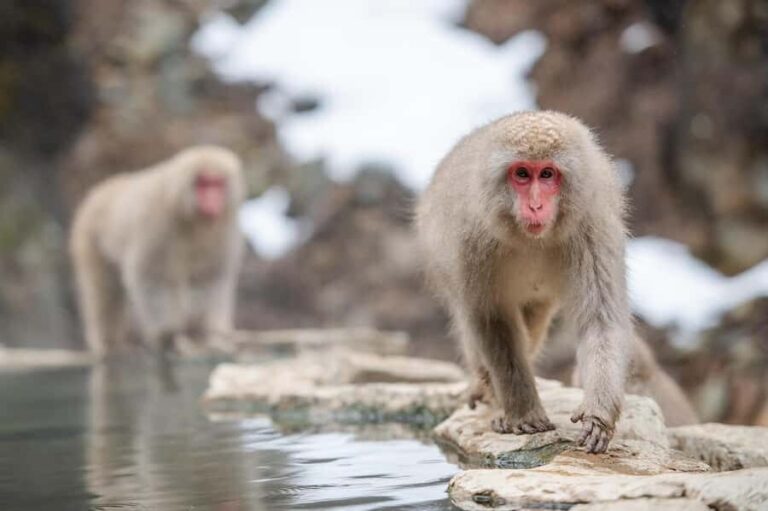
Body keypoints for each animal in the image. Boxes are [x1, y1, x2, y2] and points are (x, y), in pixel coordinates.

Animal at [70, 145, 245, 358]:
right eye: (203, 184)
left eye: (217, 184)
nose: (212, 200)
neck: (193, 220)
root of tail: (101, 190)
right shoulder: (156, 224)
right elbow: (151, 277)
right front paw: (167, 336)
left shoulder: (224, 230)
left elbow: (209, 278)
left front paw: (209, 337)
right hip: (89, 238)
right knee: (105, 291)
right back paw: (109, 344)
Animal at [416, 111, 634, 454]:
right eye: (521, 174)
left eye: (546, 174)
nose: (535, 206)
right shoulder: (470, 241)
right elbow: (490, 320)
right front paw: (522, 413)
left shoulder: (592, 228)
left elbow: (601, 319)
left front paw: (598, 417)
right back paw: (488, 388)